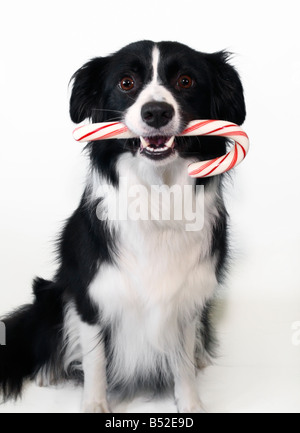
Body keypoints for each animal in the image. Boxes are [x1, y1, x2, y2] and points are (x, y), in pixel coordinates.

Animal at [0, 40, 246, 412]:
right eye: (126, 83)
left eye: (186, 81)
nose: (156, 112)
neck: (158, 195)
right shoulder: (90, 296)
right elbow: (95, 360)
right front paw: (95, 405)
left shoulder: (187, 299)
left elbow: (183, 363)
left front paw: (190, 404)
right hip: (51, 290)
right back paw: (47, 371)